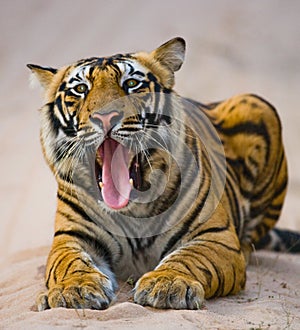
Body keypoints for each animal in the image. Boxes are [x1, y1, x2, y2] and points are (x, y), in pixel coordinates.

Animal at [27, 37, 298, 310]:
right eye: (81, 89)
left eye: (131, 84)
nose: (105, 117)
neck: (133, 208)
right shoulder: (72, 237)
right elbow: (69, 264)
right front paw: (74, 289)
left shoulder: (214, 236)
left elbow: (190, 258)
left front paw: (168, 283)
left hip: (256, 104)